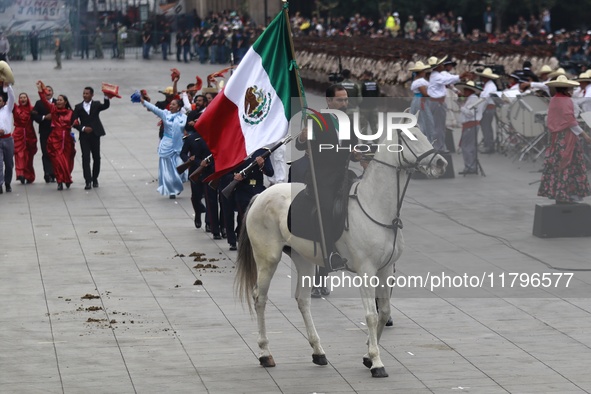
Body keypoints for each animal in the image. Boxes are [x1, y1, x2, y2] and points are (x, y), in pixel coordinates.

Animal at [234, 127, 446, 378]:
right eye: (411, 139)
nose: (441, 163)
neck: (376, 207)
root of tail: (261, 195)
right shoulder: (366, 271)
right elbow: (371, 316)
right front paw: (376, 362)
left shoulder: (385, 270)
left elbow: (384, 312)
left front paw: (368, 356)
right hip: (268, 258)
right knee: (260, 298)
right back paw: (265, 353)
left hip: (303, 259)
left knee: (302, 300)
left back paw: (318, 351)